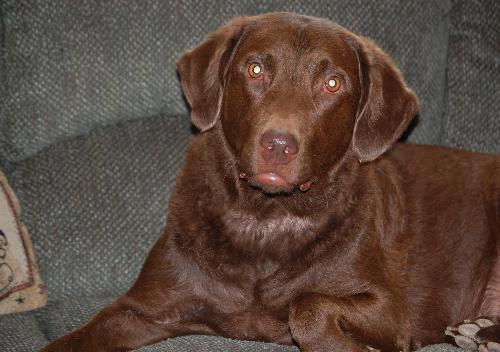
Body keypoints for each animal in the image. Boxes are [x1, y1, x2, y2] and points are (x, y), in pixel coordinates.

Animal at [41, 11, 498, 352]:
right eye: (255, 69)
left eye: (332, 83)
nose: (278, 145)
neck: (264, 219)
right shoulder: (139, 308)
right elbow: (72, 339)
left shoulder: (390, 308)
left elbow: (307, 306)